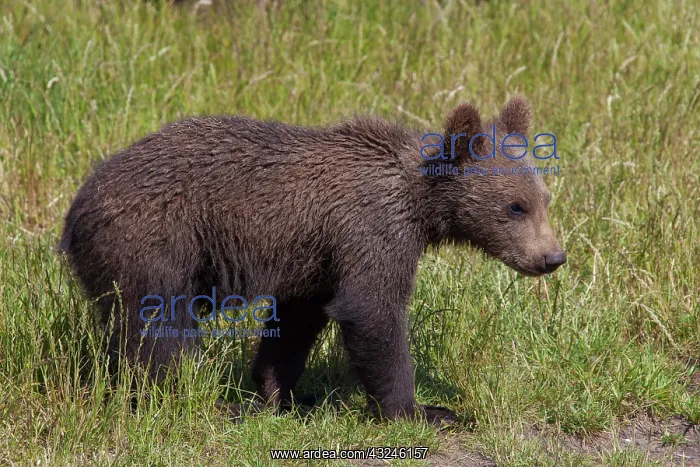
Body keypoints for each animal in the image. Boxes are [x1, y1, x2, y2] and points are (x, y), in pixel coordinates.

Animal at [59, 96, 566, 424]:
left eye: (544, 199)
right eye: (514, 207)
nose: (553, 256)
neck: (420, 203)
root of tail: (75, 210)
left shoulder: (316, 257)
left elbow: (297, 322)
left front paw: (278, 393)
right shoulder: (372, 230)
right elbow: (372, 310)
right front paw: (422, 410)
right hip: (155, 243)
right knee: (162, 331)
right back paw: (200, 401)